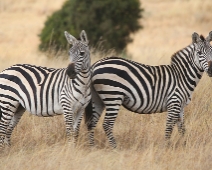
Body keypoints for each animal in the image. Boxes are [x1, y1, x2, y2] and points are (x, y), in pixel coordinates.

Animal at [84, 31, 212, 147]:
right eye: (199, 53)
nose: (211, 70)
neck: (182, 76)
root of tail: (95, 65)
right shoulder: (174, 102)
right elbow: (169, 127)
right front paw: (166, 148)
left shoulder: (180, 107)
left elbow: (182, 128)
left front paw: (184, 145)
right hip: (113, 96)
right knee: (107, 124)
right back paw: (115, 148)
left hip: (97, 99)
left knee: (91, 122)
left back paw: (92, 147)